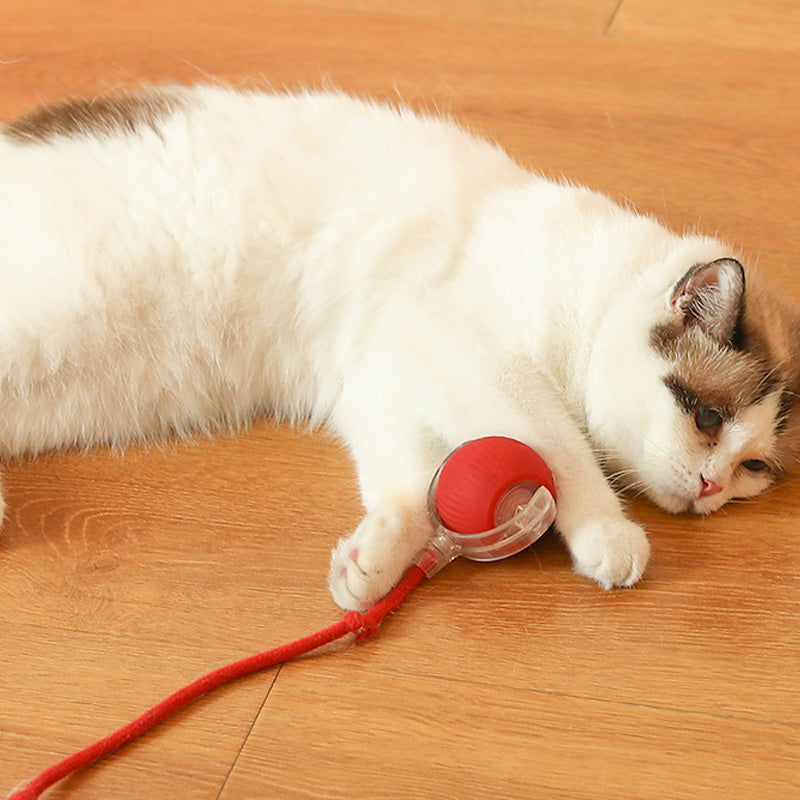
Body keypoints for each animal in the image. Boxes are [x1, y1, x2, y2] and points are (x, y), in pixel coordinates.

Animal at [1, 84, 800, 608]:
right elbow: (561, 446)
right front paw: (608, 531)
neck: (591, 281)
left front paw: (370, 564)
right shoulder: (473, 357)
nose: (713, 489)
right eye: (705, 418)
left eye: (754, 467)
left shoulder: (383, 379)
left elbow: (411, 488)